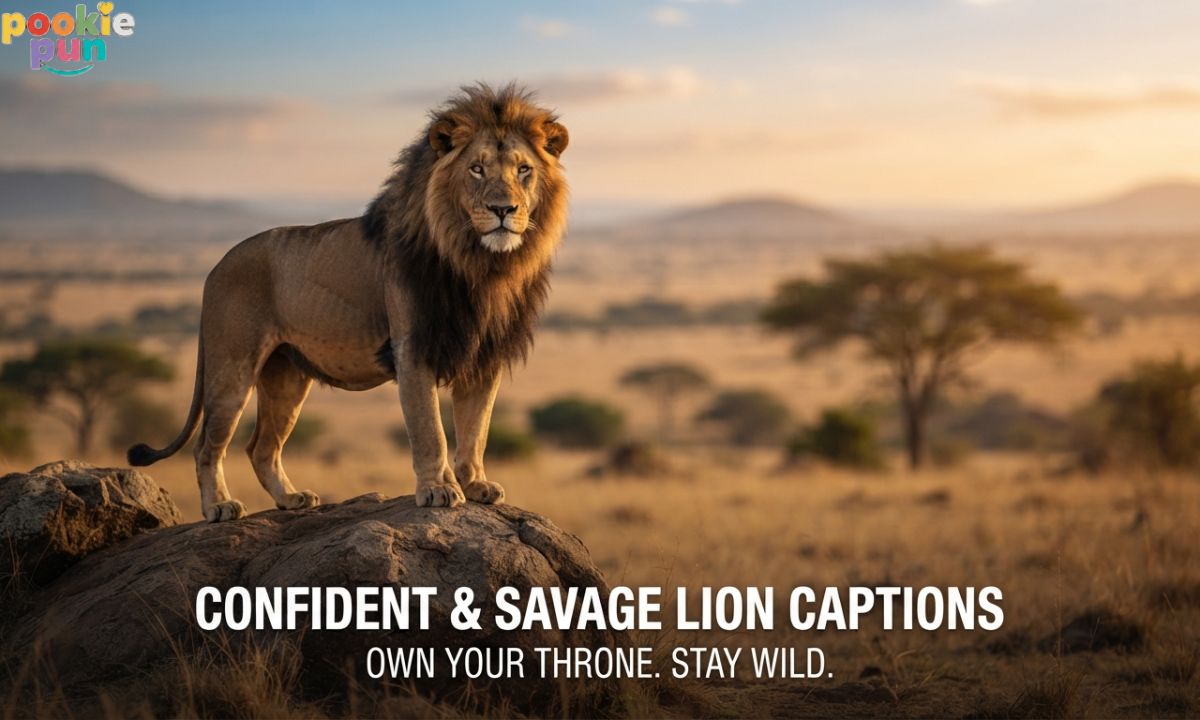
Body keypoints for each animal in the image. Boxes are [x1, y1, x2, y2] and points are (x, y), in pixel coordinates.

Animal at [127, 83, 569, 522]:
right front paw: (438, 489)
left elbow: (476, 429)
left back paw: (291, 499)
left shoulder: (484, 355)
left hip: (286, 375)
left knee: (261, 447)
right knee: (207, 445)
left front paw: (476, 484)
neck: (480, 264)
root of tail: (215, 267)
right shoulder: (412, 348)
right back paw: (219, 506)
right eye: (476, 169)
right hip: (231, 366)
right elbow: (430, 430)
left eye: (523, 170)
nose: (503, 209)